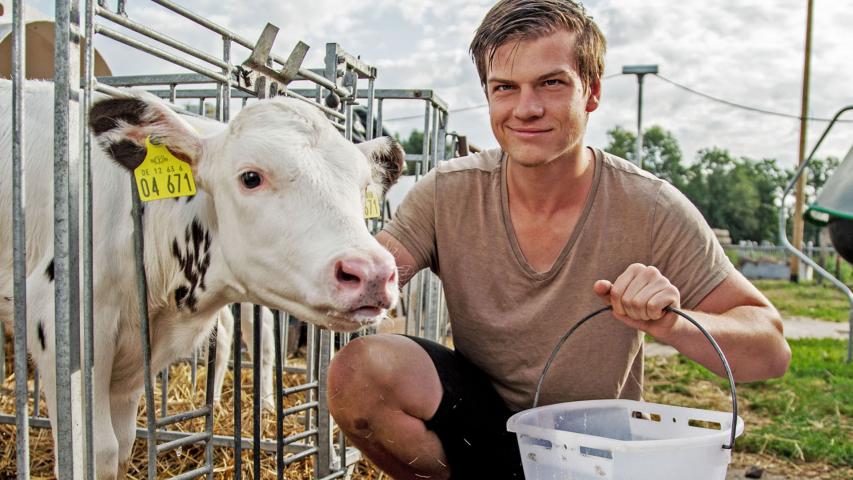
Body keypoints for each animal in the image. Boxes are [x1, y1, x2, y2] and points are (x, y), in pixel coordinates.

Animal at [0, 79, 402, 480]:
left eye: (363, 186)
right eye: (250, 177)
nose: (372, 272)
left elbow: (121, 445)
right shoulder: (61, 326)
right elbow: (96, 452)